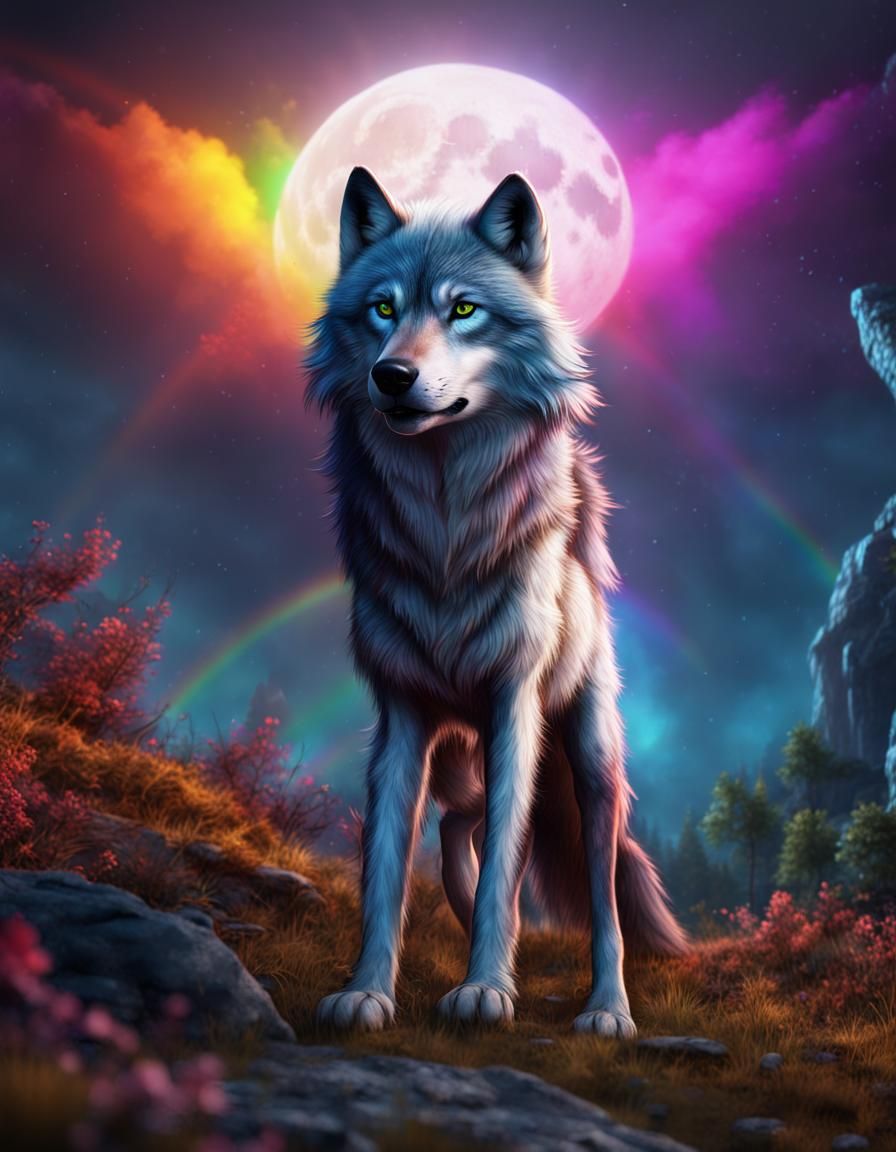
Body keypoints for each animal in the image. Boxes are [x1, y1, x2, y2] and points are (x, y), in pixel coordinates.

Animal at [305, 166, 686, 1037]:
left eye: (463, 310)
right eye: (383, 309)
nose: (392, 375)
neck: (448, 526)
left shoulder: (515, 702)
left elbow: (512, 864)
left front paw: (486, 989)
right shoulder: (401, 714)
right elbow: (384, 869)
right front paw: (367, 991)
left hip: (585, 762)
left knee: (602, 897)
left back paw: (607, 1010)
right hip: (460, 754)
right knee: (458, 821)